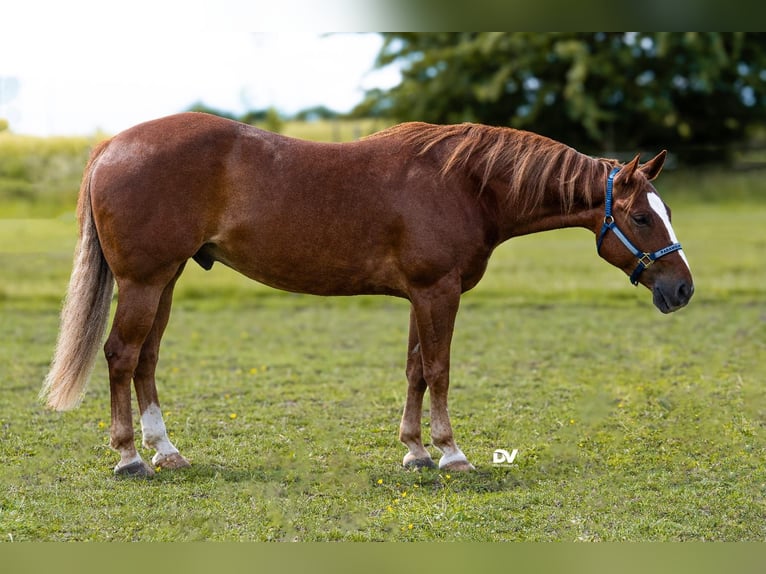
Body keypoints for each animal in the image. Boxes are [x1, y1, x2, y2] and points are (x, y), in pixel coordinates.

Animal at [41, 112, 694, 477]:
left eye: (663, 210)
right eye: (640, 217)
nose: (682, 287)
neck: (465, 184)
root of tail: (109, 147)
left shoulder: (421, 297)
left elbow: (415, 370)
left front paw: (415, 452)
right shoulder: (438, 293)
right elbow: (440, 370)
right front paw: (451, 453)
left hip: (166, 280)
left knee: (146, 360)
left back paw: (166, 451)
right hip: (145, 282)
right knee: (122, 356)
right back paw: (129, 458)